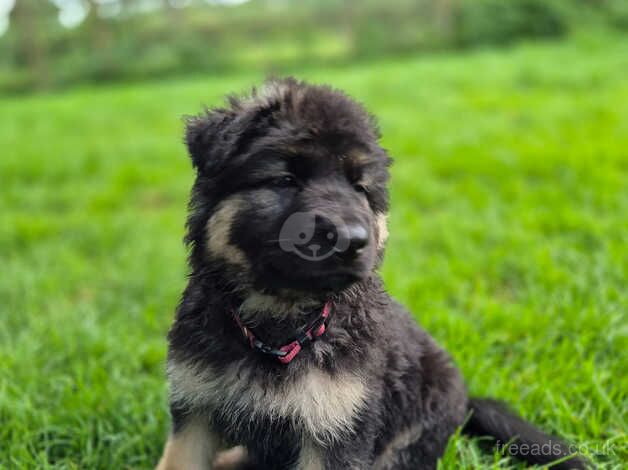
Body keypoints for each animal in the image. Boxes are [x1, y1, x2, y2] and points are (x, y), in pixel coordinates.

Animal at [156, 79, 584, 468]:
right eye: (285, 180)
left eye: (360, 188)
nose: (351, 240)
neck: (278, 329)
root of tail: (467, 402)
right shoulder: (195, 409)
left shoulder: (337, 426)